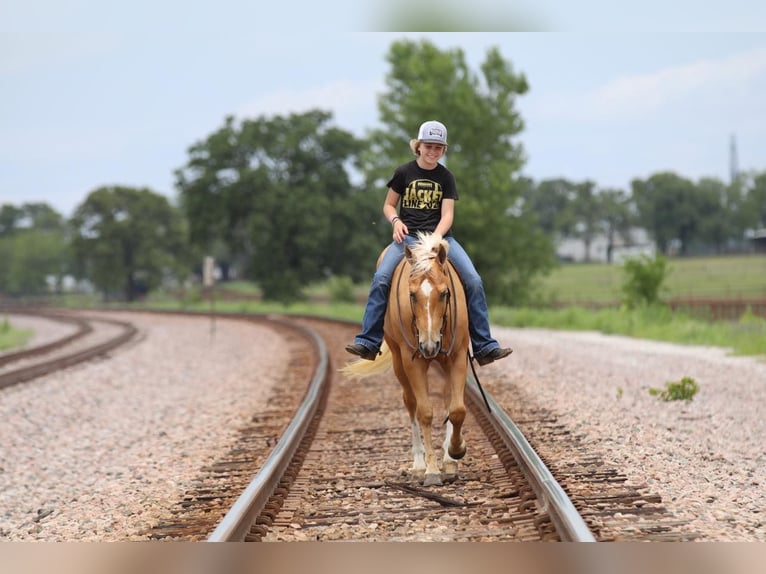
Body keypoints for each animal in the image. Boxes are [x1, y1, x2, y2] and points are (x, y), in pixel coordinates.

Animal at [344, 232, 474, 488]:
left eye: (444, 293)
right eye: (412, 295)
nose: (429, 346)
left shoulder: (457, 356)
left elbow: (456, 409)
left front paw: (455, 453)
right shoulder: (413, 360)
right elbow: (425, 412)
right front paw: (431, 470)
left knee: (447, 399)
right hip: (399, 362)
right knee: (410, 402)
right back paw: (419, 465)